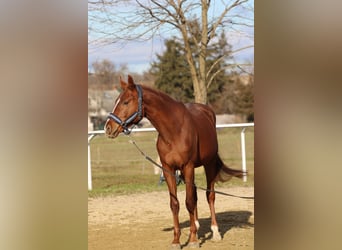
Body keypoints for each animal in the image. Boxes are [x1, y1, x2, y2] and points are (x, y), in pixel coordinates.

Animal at [104, 75, 243, 249]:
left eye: (126, 102)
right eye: (117, 100)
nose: (108, 128)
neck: (173, 131)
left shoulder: (188, 166)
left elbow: (189, 201)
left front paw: (193, 240)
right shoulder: (168, 169)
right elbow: (175, 204)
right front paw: (177, 240)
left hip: (208, 164)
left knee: (209, 195)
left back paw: (215, 231)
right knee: (195, 194)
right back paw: (196, 225)